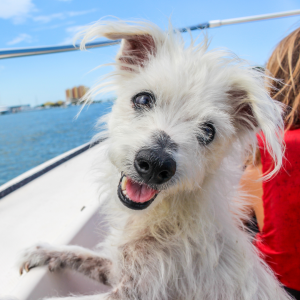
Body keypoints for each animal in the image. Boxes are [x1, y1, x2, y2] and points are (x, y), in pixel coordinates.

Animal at [15, 20, 290, 300]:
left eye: (208, 131)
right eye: (143, 99)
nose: (156, 164)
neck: (165, 217)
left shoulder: (134, 292)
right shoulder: (118, 269)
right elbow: (81, 254)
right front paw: (43, 251)